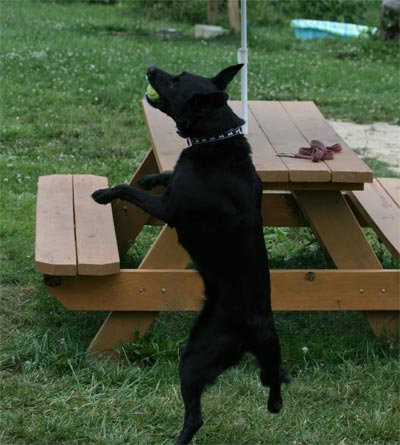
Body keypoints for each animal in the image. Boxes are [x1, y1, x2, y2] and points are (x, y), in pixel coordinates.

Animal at [92, 64, 286, 442]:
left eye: (174, 81)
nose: (152, 68)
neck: (216, 140)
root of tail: (258, 327)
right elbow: (162, 174)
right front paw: (151, 176)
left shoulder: (168, 209)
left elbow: (127, 189)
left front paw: (105, 194)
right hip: (255, 353)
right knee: (275, 377)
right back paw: (274, 403)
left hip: (194, 359)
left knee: (195, 417)